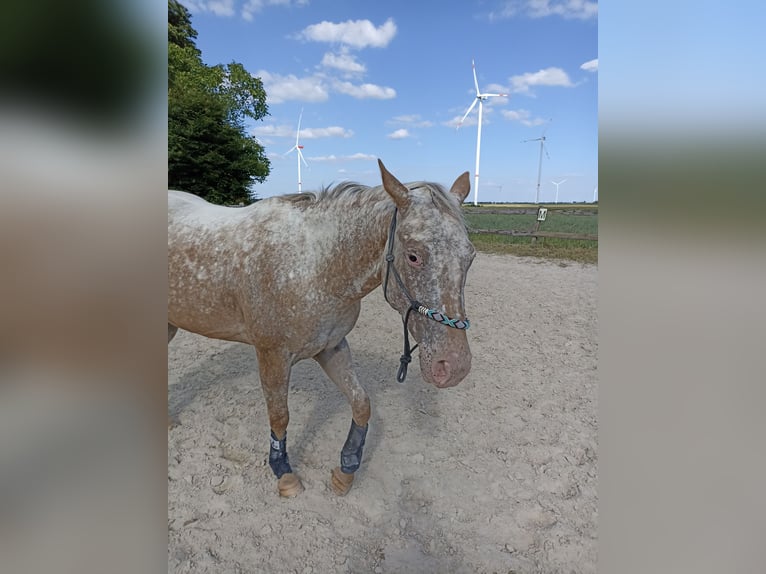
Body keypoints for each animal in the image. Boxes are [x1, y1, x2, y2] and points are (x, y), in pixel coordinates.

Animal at [171, 160, 476, 498]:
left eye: (470, 256)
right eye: (413, 255)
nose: (454, 366)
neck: (313, 266)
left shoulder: (331, 347)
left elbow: (361, 404)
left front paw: (346, 470)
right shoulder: (272, 356)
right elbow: (279, 415)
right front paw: (284, 474)